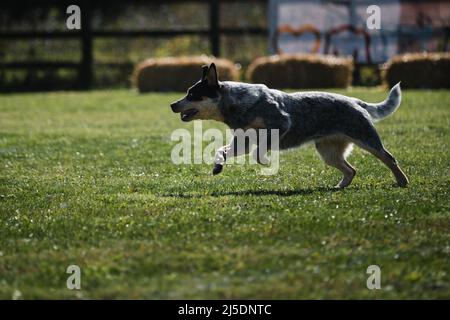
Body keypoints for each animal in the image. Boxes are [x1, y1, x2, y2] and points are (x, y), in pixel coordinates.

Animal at [169, 62, 408, 188]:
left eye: (192, 94)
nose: (172, 104)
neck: (238, 105)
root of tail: (355, 101)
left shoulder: (281, 124)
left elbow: (258, 152)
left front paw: (265, 161)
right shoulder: (242, 142)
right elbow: (221, 150)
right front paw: (218, 166)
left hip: (365, 138)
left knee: (389, 158)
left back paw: (402, 181)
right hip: (328, 152)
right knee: (351, 170)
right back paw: (339, 187)